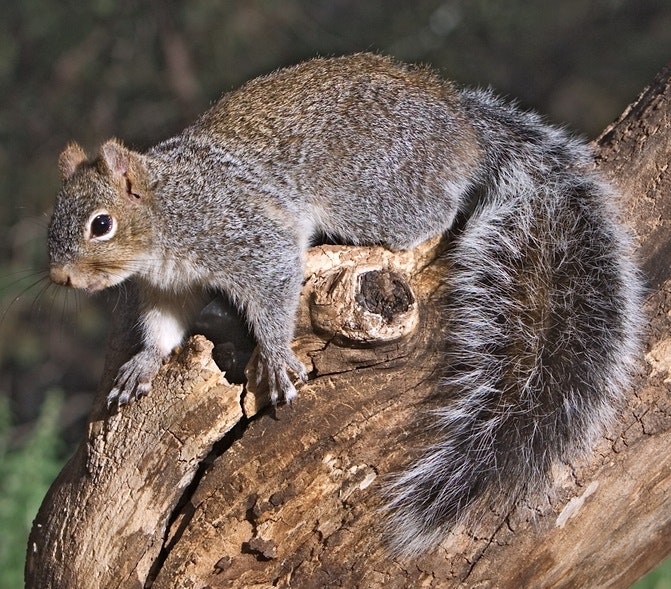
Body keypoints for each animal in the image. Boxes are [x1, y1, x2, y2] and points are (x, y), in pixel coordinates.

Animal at [48, 53, 643, 555]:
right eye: (54, 219)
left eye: (101, 224)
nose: (58, 276)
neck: (167, 213)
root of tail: (463, 123)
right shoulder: (168, 290)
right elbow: (163, 330)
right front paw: (142, 365)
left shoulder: (250, 240)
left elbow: (273, 288)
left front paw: (273, 357)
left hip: (375, 196)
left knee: (439, 210)